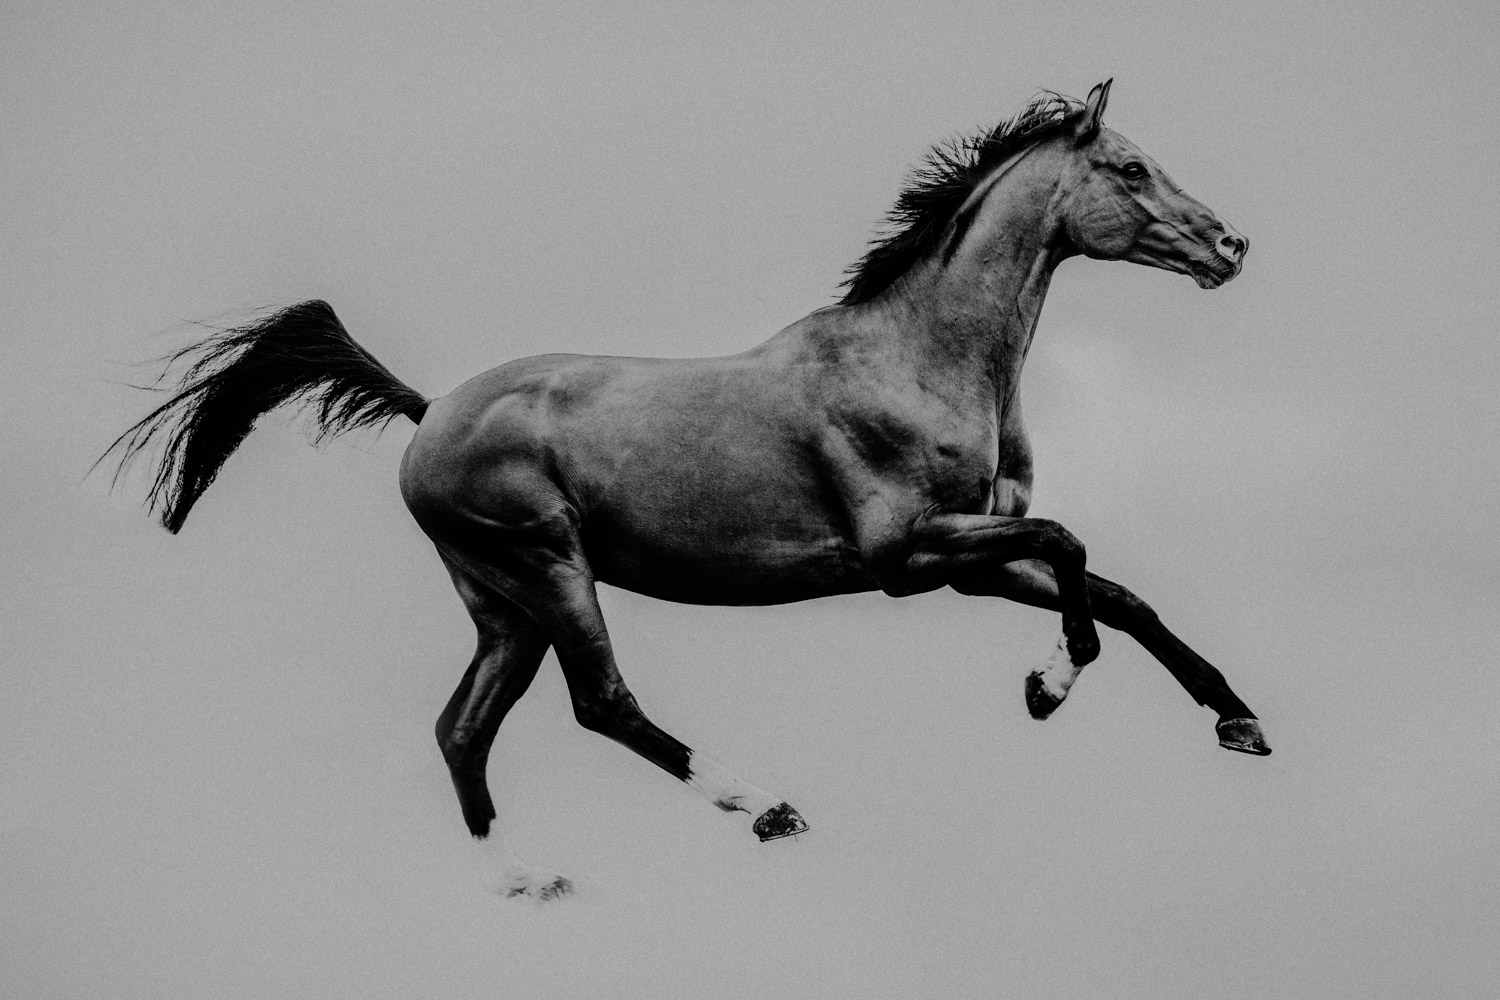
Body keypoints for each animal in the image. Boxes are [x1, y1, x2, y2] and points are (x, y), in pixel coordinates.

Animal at [102, 82, 1266, 905]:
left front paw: (1239, 723)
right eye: (1130, 165)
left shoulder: (969, 561)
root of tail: (428, 411)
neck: (916, 359)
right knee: (601, 703)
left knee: (460, 731)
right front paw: (1048, 686)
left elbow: (1120, 593)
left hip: (501, 606)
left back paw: (527, 882)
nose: (1232, 245)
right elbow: (1075, 550)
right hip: (548, 565)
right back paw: (766, 806)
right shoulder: (909, 555)